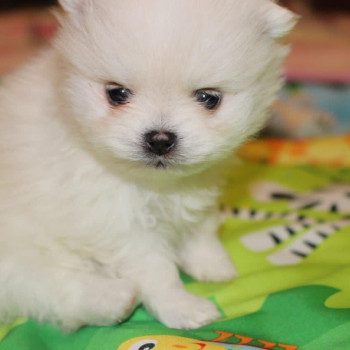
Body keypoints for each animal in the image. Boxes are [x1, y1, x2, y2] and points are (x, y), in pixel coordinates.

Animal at [0, 0, 296, 330]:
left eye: (209, 98)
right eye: (117, 94)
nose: (160, 139)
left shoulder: (198, 192)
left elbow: (201, 231)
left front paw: (214, 265)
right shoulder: (117, 223)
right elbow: (156, 272)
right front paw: (183, 307)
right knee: (53, 285)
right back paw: (115, 298)